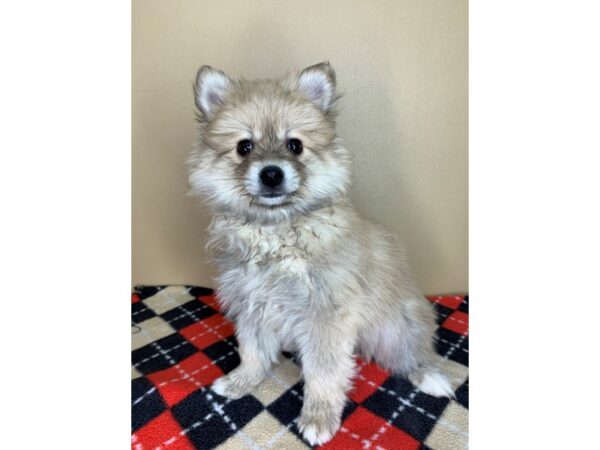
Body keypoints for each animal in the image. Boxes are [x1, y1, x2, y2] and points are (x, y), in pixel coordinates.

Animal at [188, 63, 450, 446]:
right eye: (244, 147)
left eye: (295, 145)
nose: (271, 173)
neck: (276, 231)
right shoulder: (253, 305)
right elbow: (252, 352)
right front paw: (242, 381)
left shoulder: (325, 317)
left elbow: (324, 374)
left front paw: (318, 416)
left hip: (399, 327)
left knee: (412, 354)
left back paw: (428, 376)